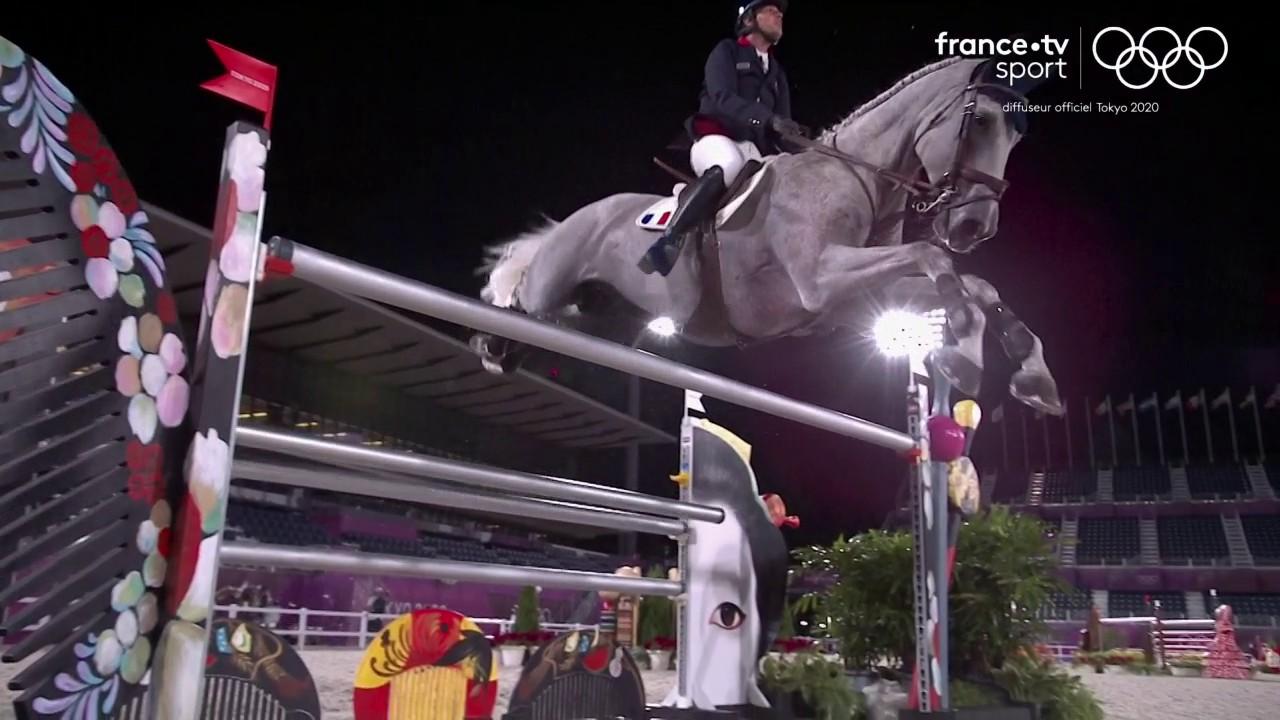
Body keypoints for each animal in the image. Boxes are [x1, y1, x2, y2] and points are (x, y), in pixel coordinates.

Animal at [471, 56, 1059, 412]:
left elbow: (975, 284)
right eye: (980, 121)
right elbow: (933, 258)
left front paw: (1028, 373)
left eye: (1016, 136)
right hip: (552, 284)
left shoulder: (853, 298)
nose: (974, 227)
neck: (858, 179)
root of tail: (579, 217)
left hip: (600, 312)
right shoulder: (819, 280)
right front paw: (965, 353)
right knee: (521, 300)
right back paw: (491, 341)